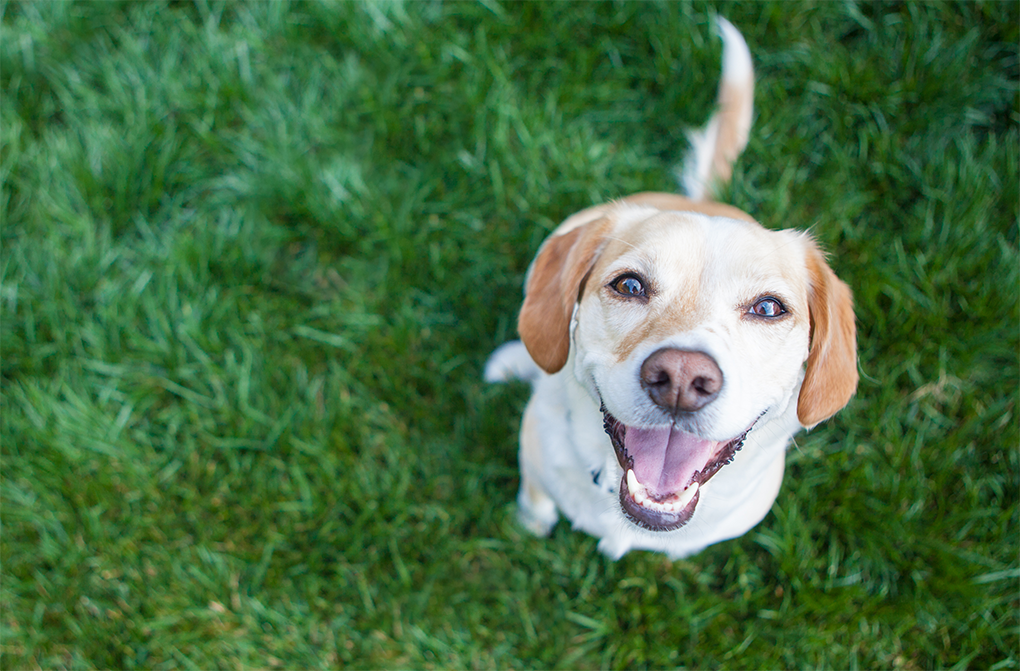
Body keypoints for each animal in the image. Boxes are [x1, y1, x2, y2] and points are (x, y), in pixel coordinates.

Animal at [481, 18, 856, 554]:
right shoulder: (535, 463)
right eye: (629, 285)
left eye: (768, 308)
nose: (681, 379)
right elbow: (535, 503)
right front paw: (528, 526)